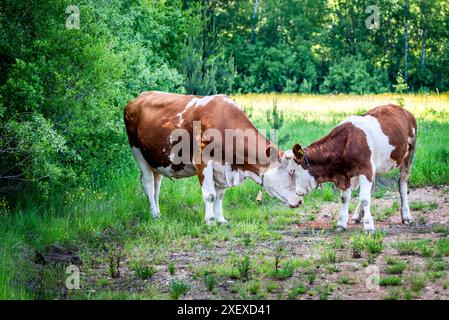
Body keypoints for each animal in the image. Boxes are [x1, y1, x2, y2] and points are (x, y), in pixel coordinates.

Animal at [123, 90, 300, 225]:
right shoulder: (202, 161)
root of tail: (137, 98)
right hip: (137, 150)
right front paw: (210, 221)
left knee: (156, 184)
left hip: (156, 158)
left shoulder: (224, 168)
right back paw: (153, 214)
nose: (300, 201)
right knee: (147, 182)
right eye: (290, 172)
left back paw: (158, 213)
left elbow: (220, 195)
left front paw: (221, 219)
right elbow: (210, 194)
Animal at [288, 105, 416, 232]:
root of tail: (404, 110)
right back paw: (357, 216)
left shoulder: (366, 168)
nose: (298, 192)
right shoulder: (347, 173)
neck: (346, 143)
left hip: (409, 153)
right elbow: (345, 198)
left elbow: (364, 198)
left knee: (402, 183)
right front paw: (341, 224)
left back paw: (406, 217)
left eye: (292, 171)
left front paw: (369, 226)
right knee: (372, 188)